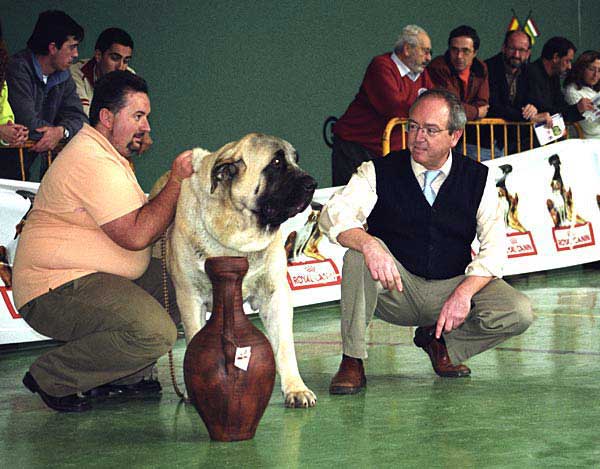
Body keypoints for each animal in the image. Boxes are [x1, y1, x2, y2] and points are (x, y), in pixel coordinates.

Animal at [157, 132, 322, 406]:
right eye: (276, 163)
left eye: (295, 160)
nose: (312, 183)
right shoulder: (191, 298)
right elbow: (195, 340)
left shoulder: (275, 296)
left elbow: (284, 346)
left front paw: (295, 388)